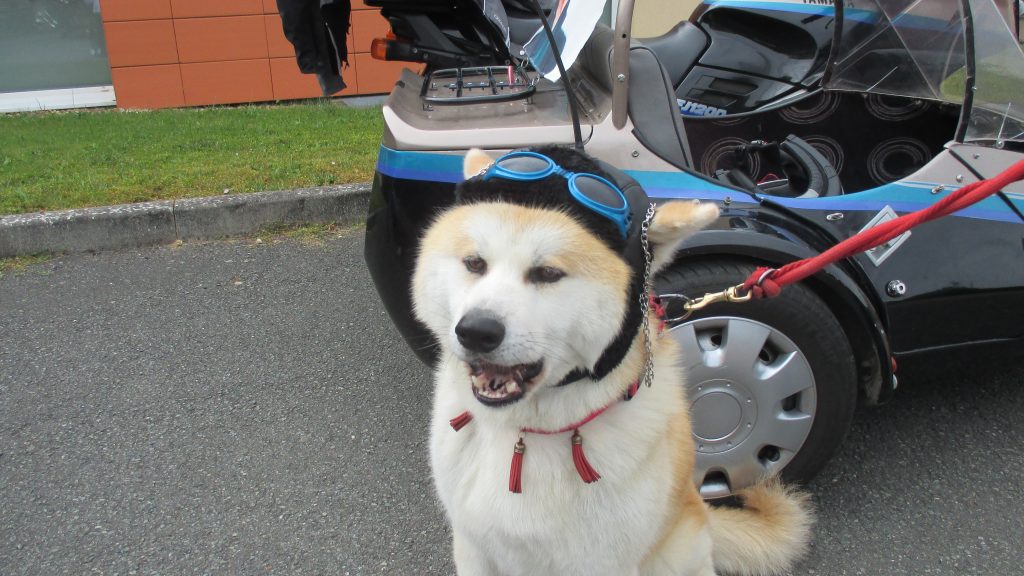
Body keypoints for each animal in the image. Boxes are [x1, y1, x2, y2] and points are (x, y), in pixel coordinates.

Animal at [412, 146, 812, 576]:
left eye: (547, 273)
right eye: (475, 263)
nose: (476, 331)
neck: (528, 435)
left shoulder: (603, 561)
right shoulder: (473, 548)